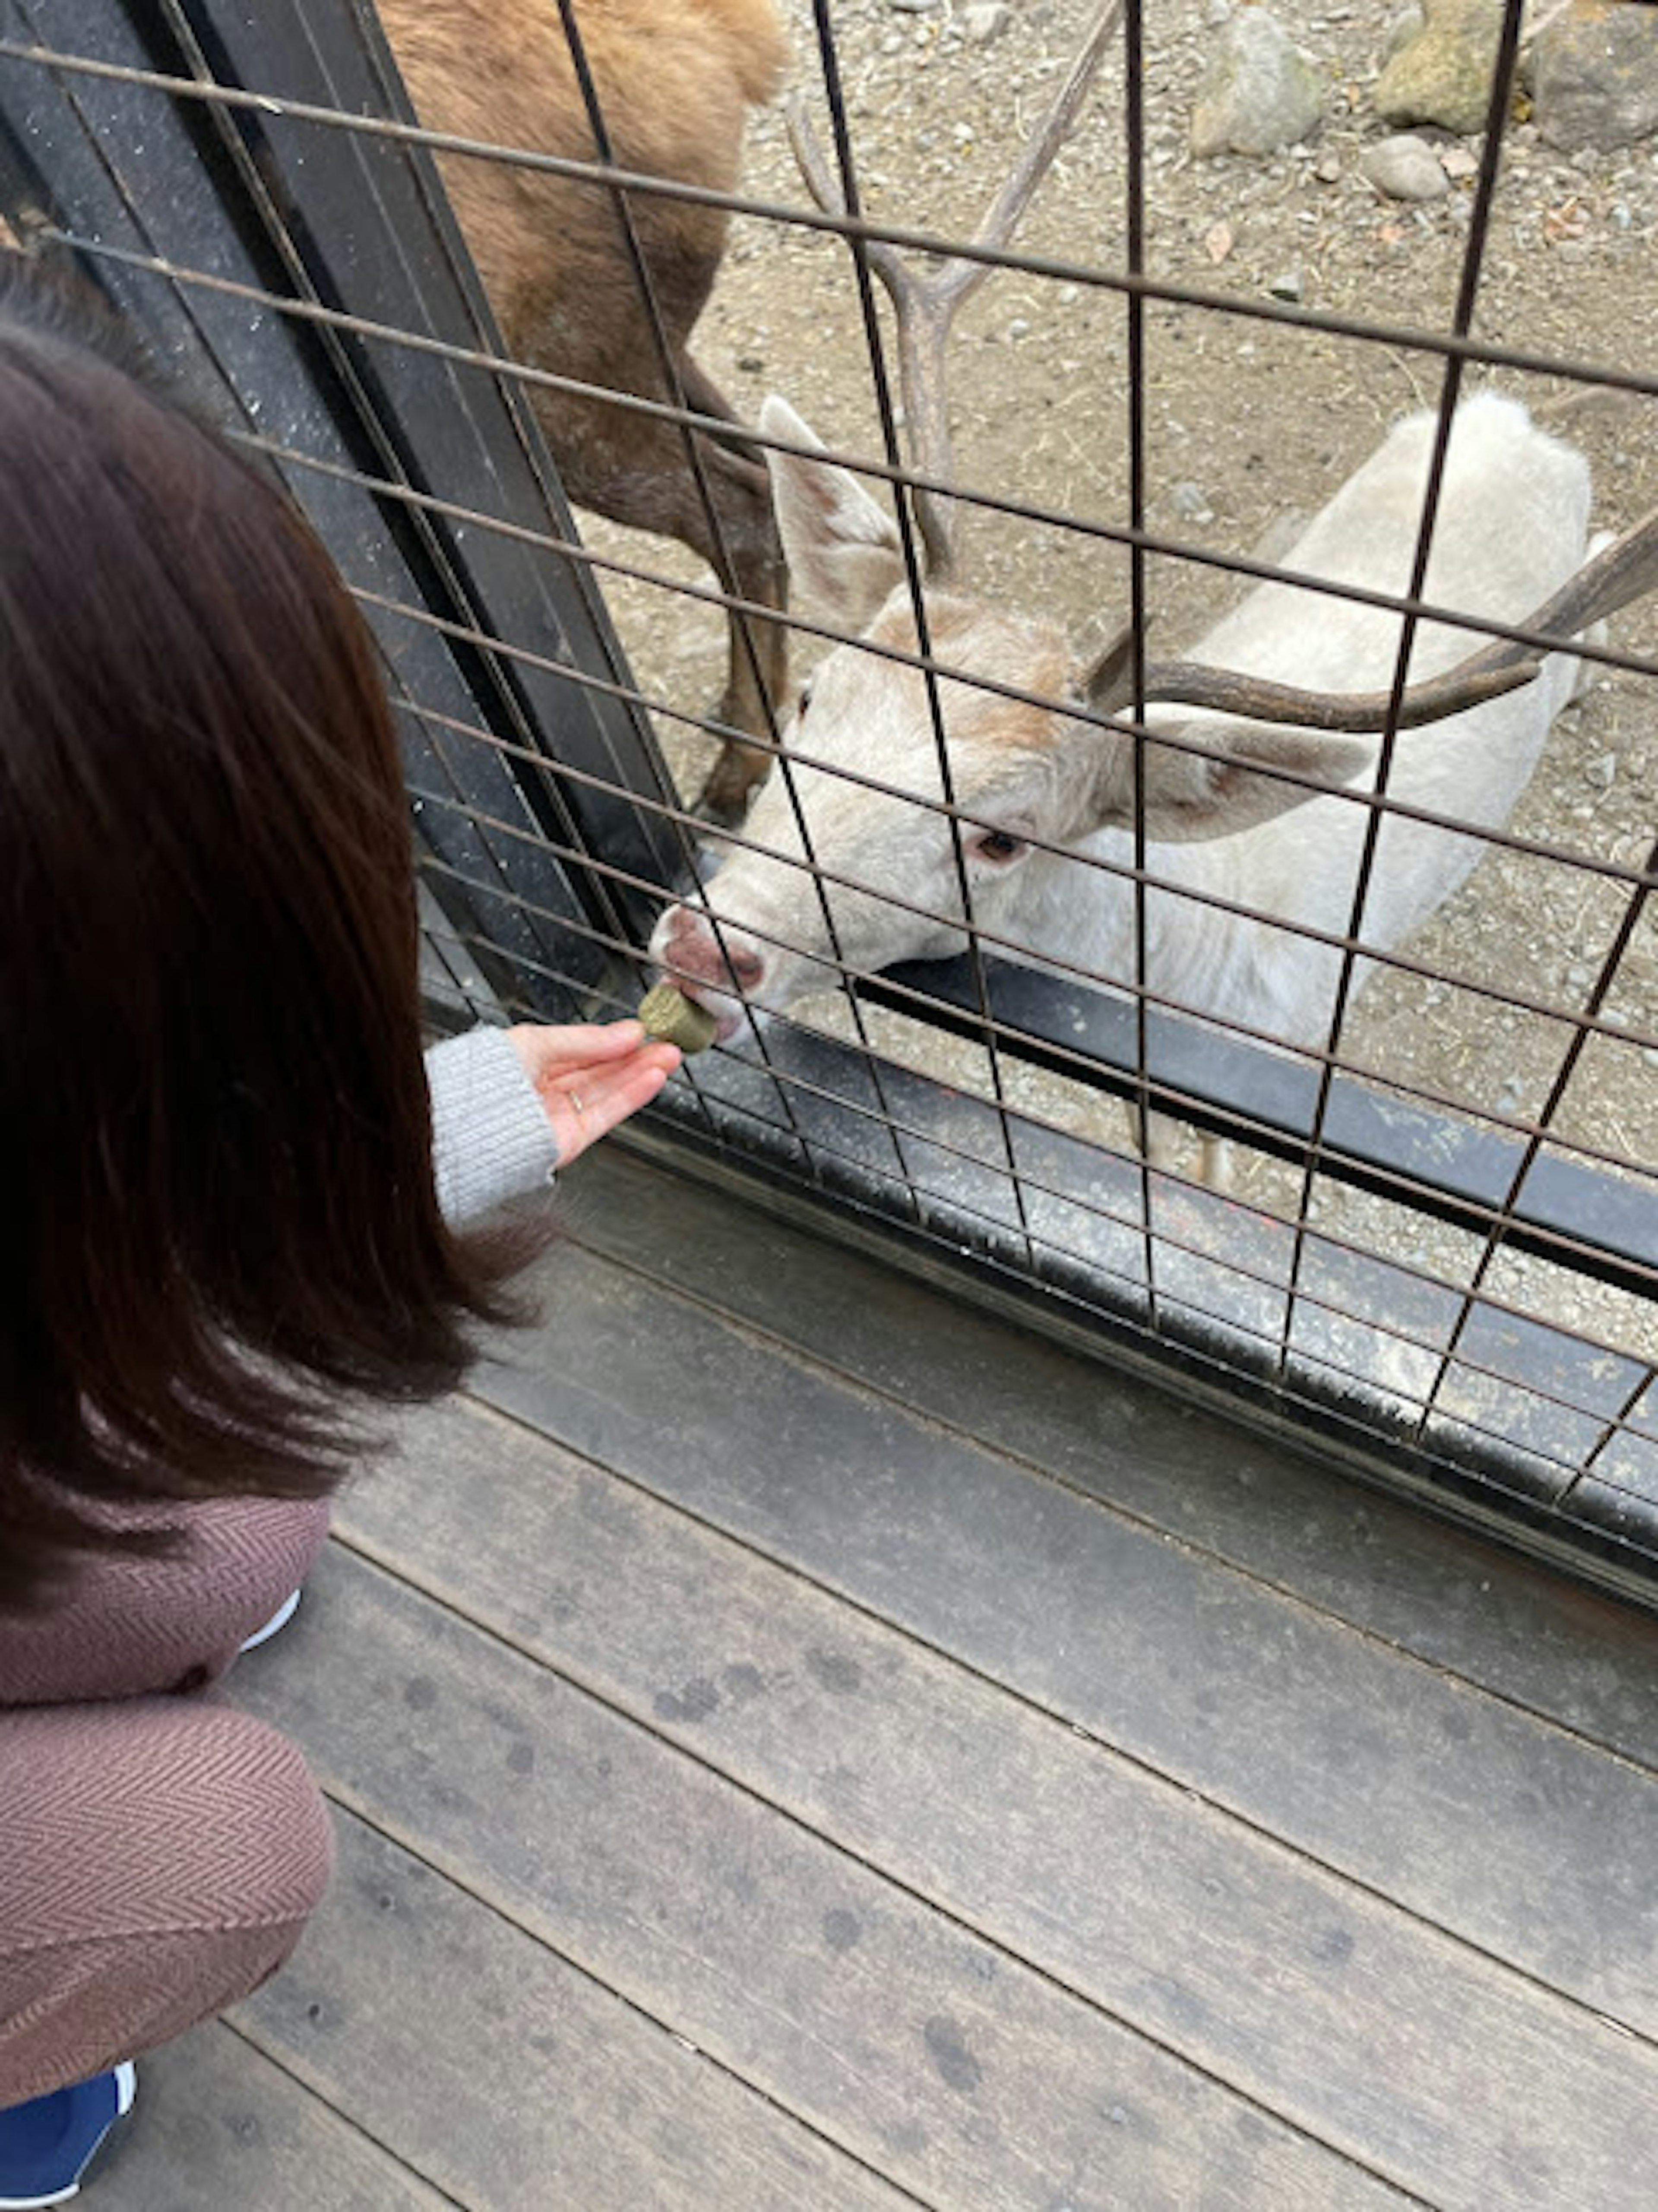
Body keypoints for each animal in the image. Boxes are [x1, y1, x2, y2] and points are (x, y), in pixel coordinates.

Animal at [382, 0, 791, 827]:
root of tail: (729, 44)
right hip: (645, 354)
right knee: (757, 464)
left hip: (569, 379)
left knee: (737, 509)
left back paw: (735, 775)